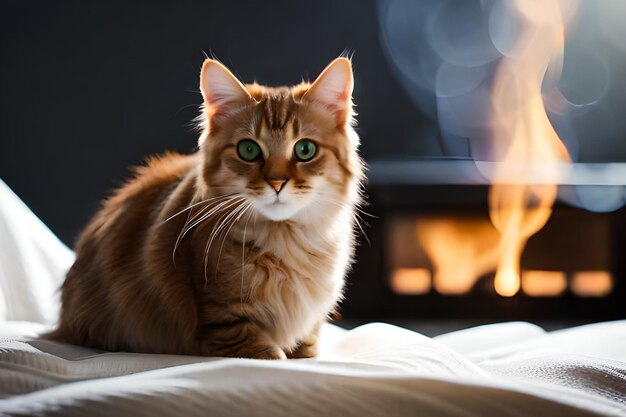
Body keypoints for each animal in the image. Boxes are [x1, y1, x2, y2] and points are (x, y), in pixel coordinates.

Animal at [48, 57, 366, 360]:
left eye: (305, 150)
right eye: (248, 150)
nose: (277, 182)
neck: (286, 244)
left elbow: (308, 345)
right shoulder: (224, 319)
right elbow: (264, 349)